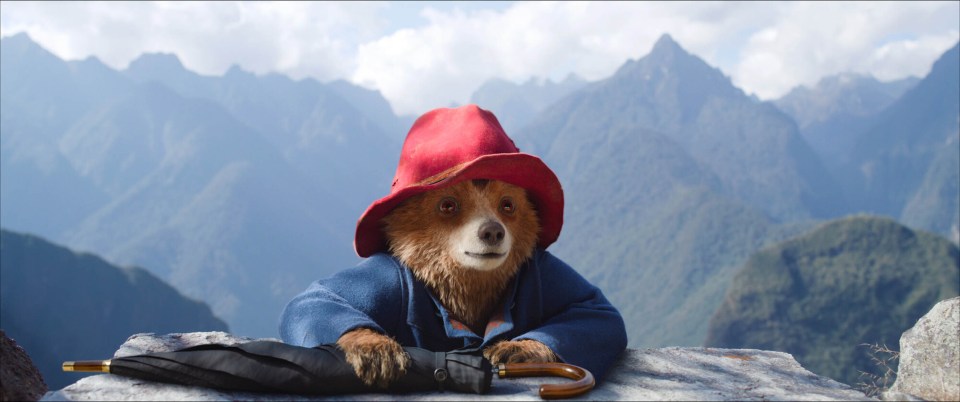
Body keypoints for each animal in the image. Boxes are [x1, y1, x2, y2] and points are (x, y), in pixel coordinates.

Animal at [282, 103, 628, 390]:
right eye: (447, 204)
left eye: (508, 204)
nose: (492, 231)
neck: (468, 291)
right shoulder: (391, 276)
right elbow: (318, 298)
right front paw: (376, 349)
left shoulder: (543, 271)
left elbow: (596, 311)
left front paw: (514, 348)